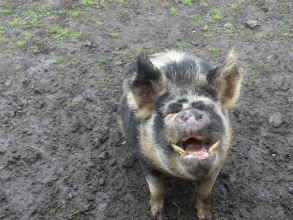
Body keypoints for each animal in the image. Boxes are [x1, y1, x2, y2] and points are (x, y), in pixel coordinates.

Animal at [118, 48, 242, 220]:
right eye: (171, 112)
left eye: (207, 108)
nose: (189, 113)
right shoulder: (145, 157)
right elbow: (156, 188)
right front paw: (156, 214)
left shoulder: (218, 163)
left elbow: (205, 191)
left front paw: (206, 216)